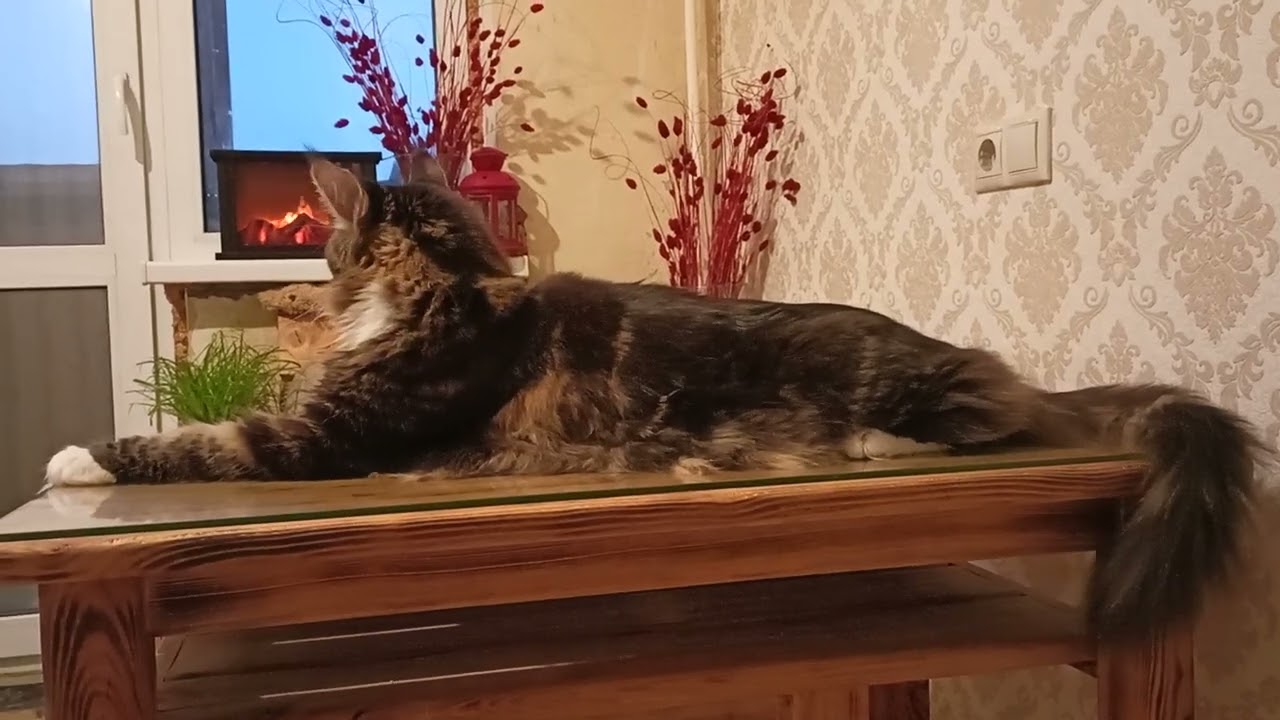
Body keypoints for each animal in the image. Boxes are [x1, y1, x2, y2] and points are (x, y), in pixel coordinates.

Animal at [45, 156, 1268, 640]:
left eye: (333, 244)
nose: (316, 274)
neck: (440, 288)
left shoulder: (317, 438)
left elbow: (192, 443)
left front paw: (73, 458)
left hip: (915, 390)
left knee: (991, 419)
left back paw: (873, 446)